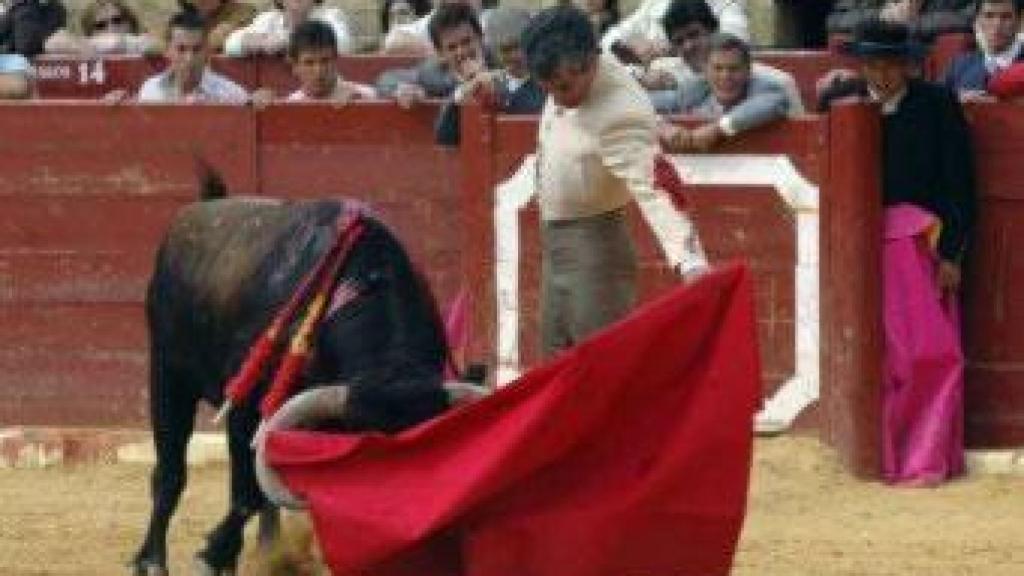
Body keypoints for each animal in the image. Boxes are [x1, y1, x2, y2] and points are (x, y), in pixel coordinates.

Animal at [131, 175, 475, 573]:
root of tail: (197, 210)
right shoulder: (246, 409)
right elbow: (246, 493)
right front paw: (212, 555)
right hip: (168, 374)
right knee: (170, 472)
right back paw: (151, 559)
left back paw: (268, 546)